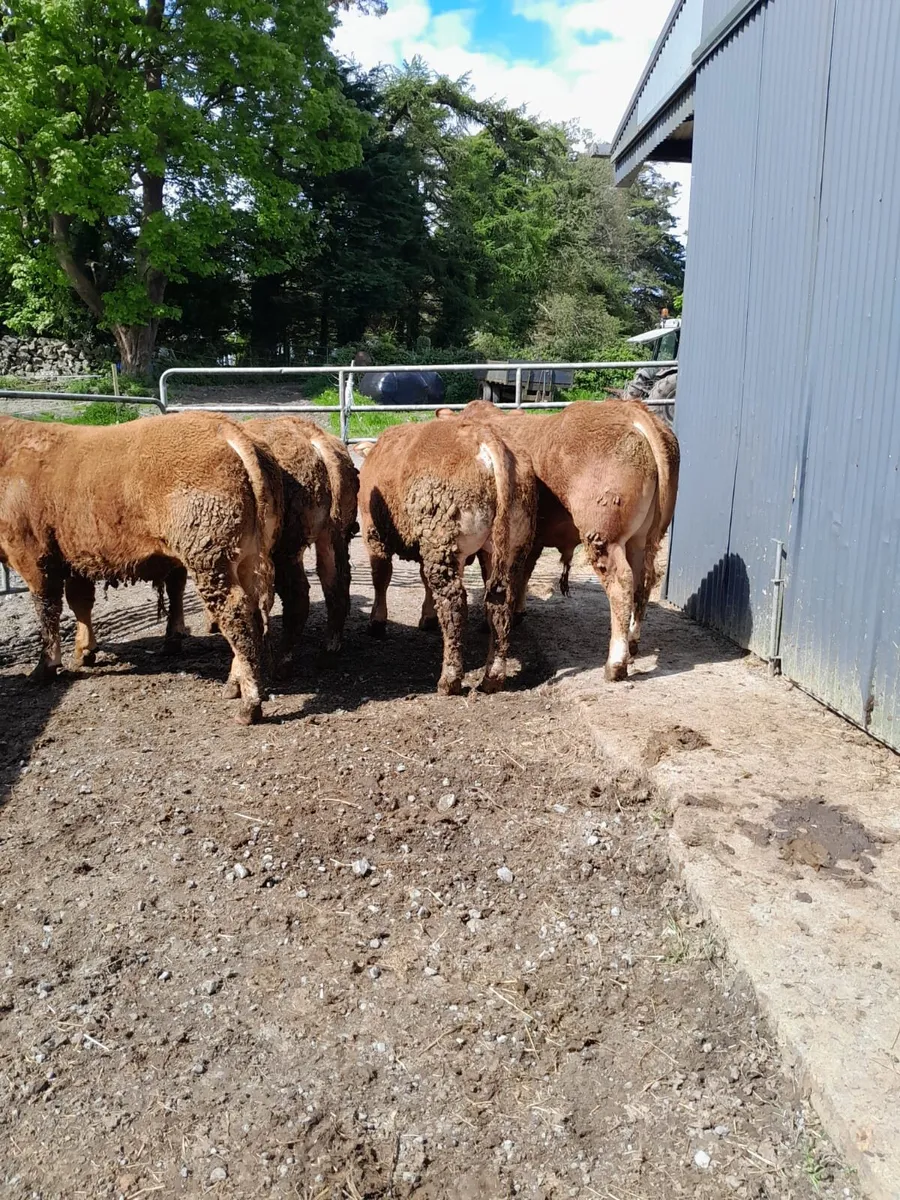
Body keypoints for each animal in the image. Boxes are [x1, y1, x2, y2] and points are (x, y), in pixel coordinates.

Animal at [0, 411, 281, 724]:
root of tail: (224, 427)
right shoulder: (74, 556)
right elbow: (80, 602)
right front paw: (85, 650)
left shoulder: (31, 553)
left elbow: (47, 609)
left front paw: (45, 667)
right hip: (248, 555)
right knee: (253, 611)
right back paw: (234, 685)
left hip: (210, 555)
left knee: (236, 614)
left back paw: (249, 705)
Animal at [357, 416, 537, 695]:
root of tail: (484, 437)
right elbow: (422, 579)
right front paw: (427, 616)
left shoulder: (373, 532)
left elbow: (381, 578)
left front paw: (377, 622)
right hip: (509, 543)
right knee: (500, 602)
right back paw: (493, 677)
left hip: (443, 536)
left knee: (453, 603)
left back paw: (449, 679)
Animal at [436, 399, 680, 681]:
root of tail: (630, 410)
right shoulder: (531, 540)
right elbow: (523, 574)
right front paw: (517, 612)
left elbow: (495, 578)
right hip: (643, 539)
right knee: (644, 580)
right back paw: (632, 643)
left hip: (604, 536)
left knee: (622, 583)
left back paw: (616, 663)